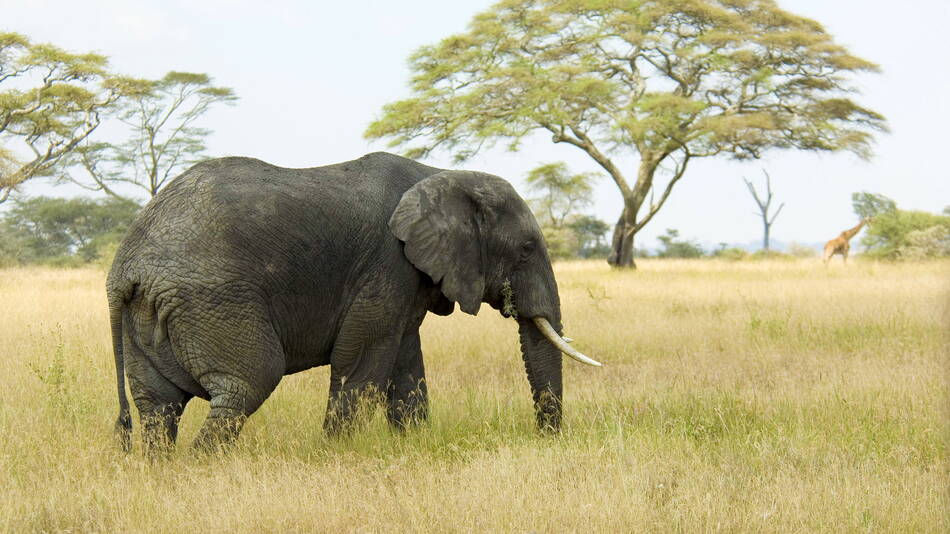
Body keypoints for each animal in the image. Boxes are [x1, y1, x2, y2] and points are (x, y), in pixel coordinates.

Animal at [107, 151, 600, 452]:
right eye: (526, 249)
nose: (546, 439)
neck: (441, 174)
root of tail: (125, 267)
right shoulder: (387, 263)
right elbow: (361, 359)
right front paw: (336, 452)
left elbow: (405, 361)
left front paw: (411, 446)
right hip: (213, 299)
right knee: (247, 383)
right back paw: (203, 467)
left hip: (149, 313)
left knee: (159, 406)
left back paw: (164, 470)